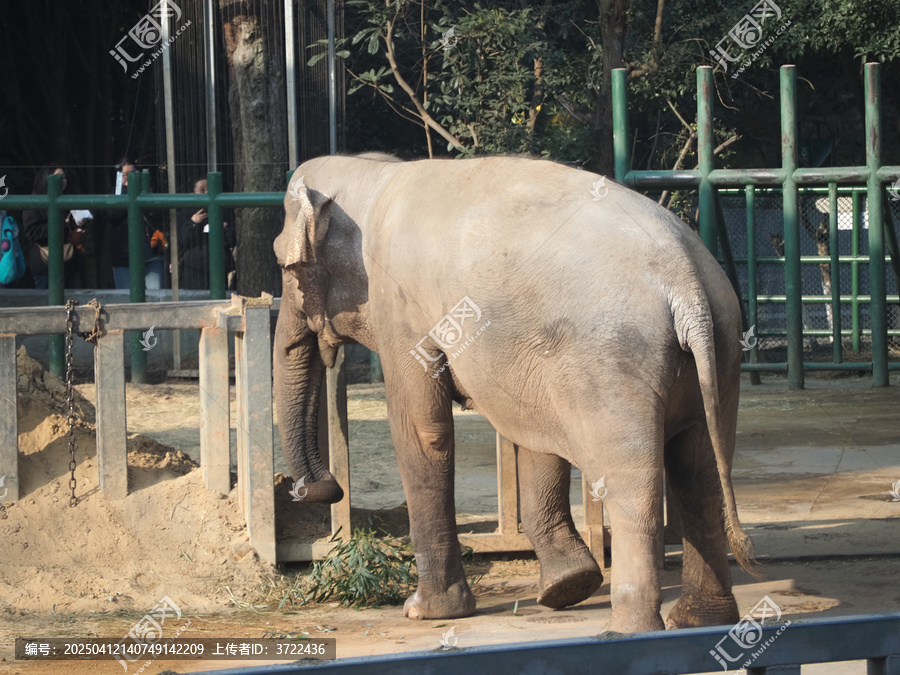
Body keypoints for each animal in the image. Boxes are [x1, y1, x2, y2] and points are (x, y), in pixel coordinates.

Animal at [272, 153, 754, 634]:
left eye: (282, 265)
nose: (325, 487)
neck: (374, 172)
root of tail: (686, 282)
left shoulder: (401, 313)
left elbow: (423, 430)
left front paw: (423, 612)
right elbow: (535, 437)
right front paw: (568, 587)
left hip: (616, 361)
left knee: (633, 483)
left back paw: (626, 631)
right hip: (722, 349)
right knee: (702, 472)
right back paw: (700, 620)